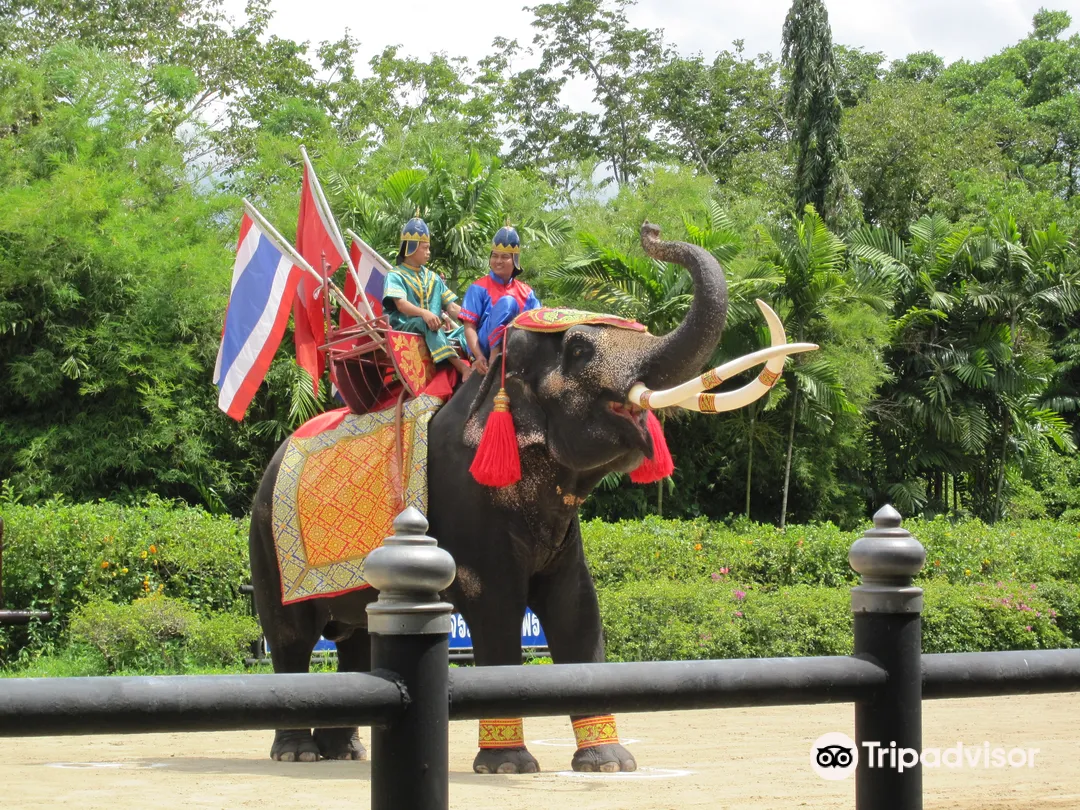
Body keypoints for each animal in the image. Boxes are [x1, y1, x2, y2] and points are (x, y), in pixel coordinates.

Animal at [247, 221, 814, 772]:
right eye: (580, 350)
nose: (651, 231)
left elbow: (578, 608)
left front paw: (609, 764)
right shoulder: (465, 499)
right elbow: (496, 608)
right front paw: (508, 765)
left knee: (357, 638)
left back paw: (344, 752)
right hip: (267, 540)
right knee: (291, 636)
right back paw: (297, 754)